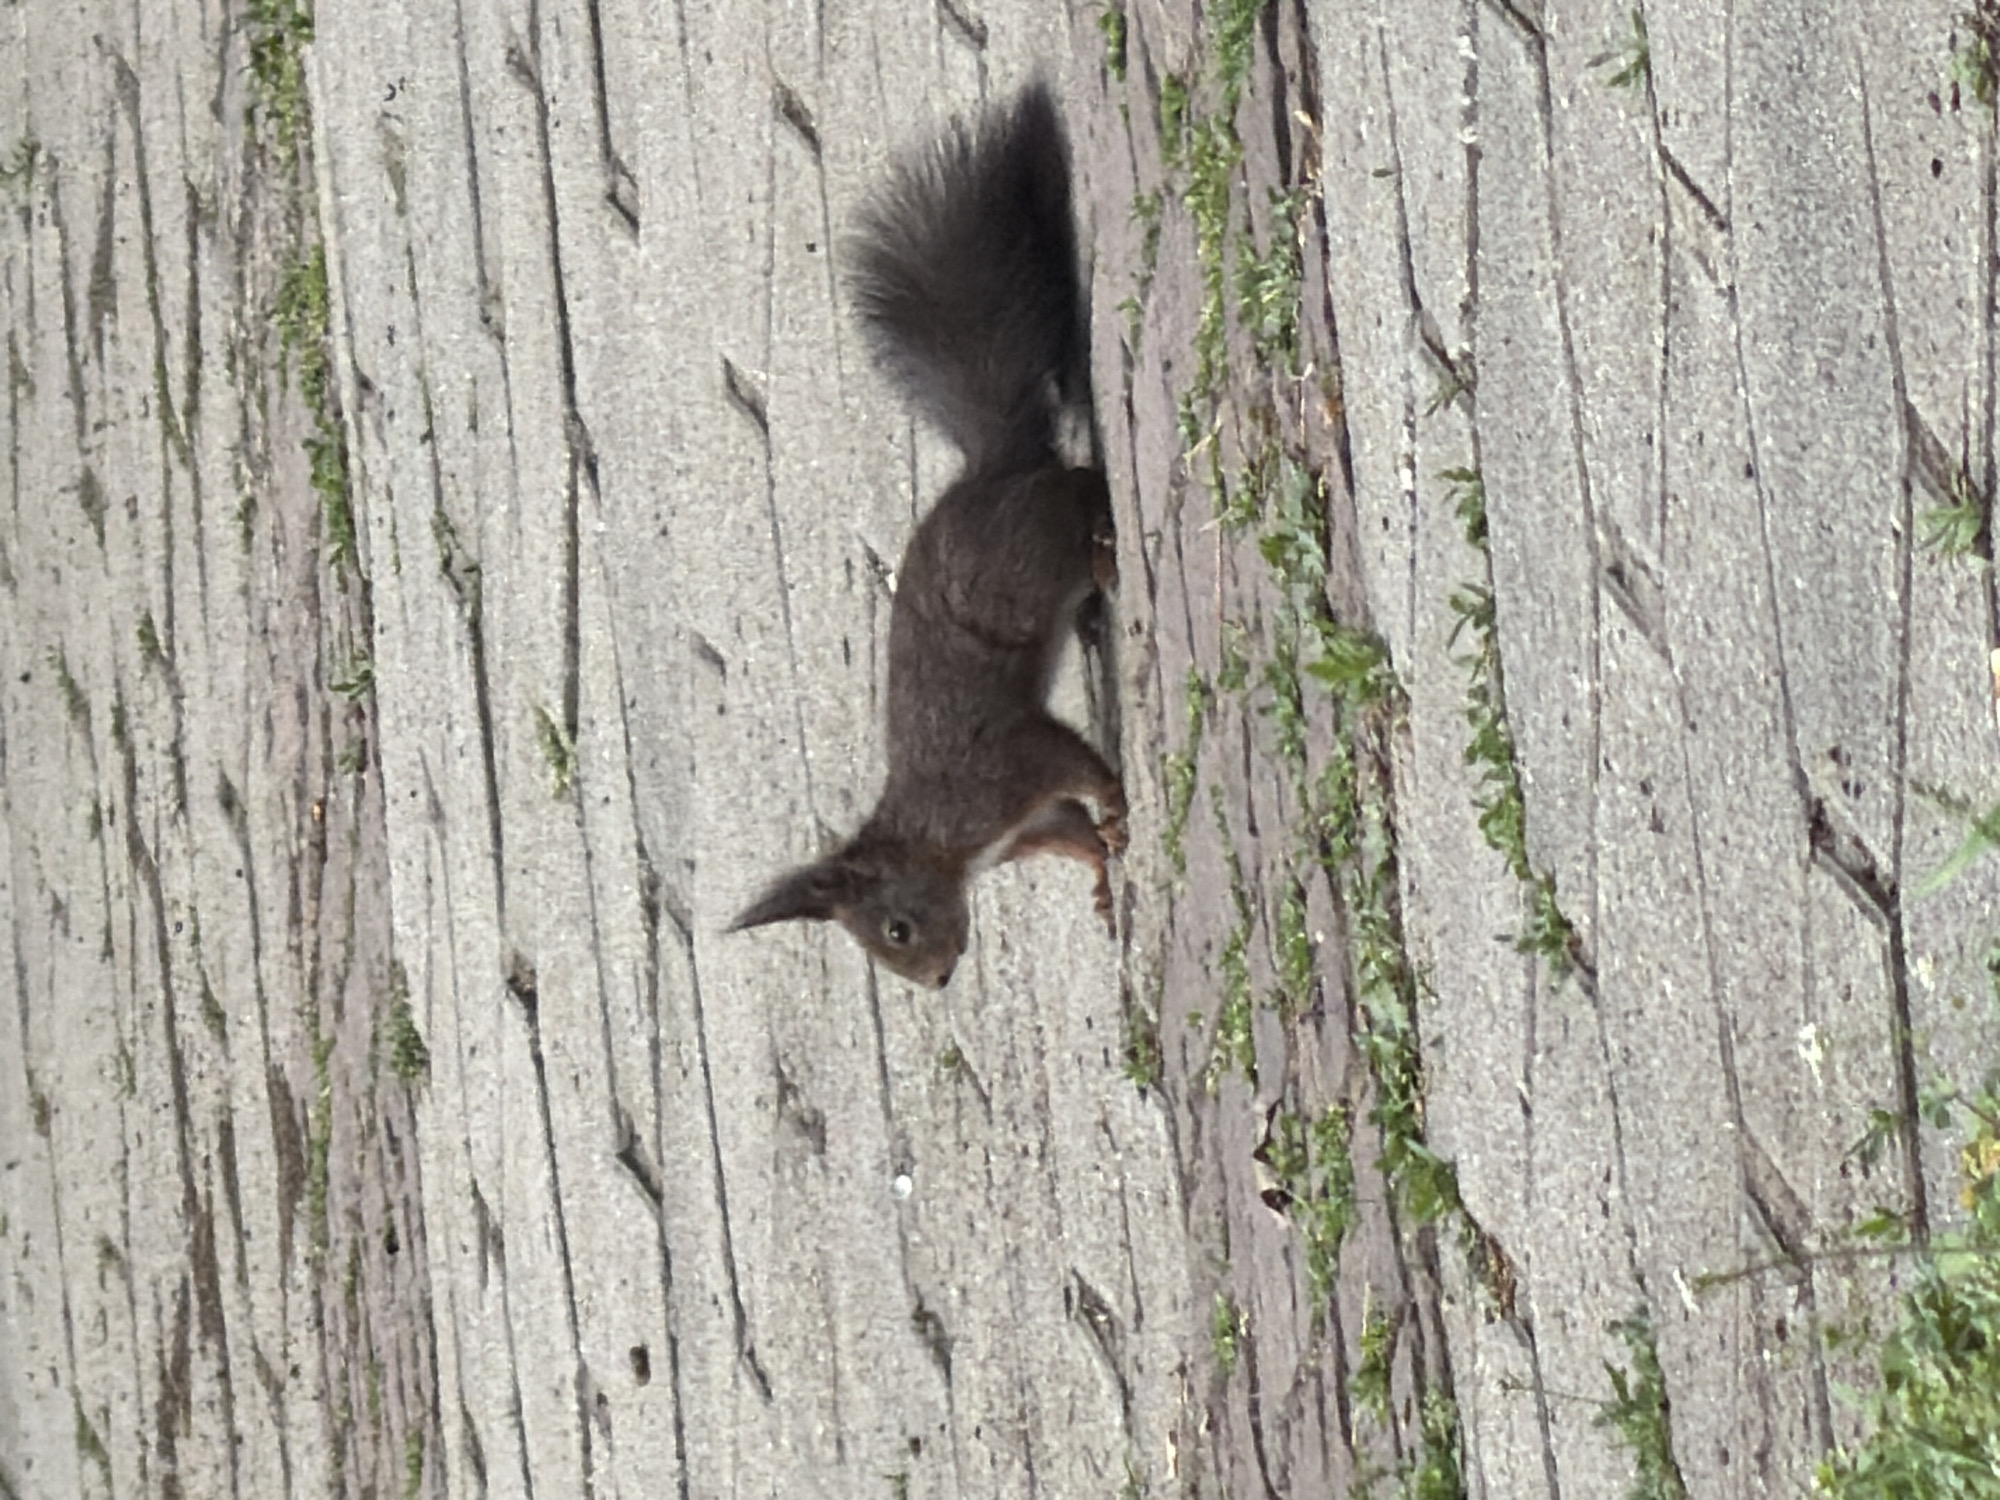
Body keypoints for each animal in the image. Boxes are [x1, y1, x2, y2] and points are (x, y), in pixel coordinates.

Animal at [730, 81, 1126, 990]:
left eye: (896, 928)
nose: (939, 981)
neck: (937, 843)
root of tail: (994, 469)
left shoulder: (1004, 770)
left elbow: (1077, 764)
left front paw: (1121, 804)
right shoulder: (1029, 822)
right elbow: (1073, 833)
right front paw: (1101, 874)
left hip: (1038, 538)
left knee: (1082, 490)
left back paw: (1104, 551)